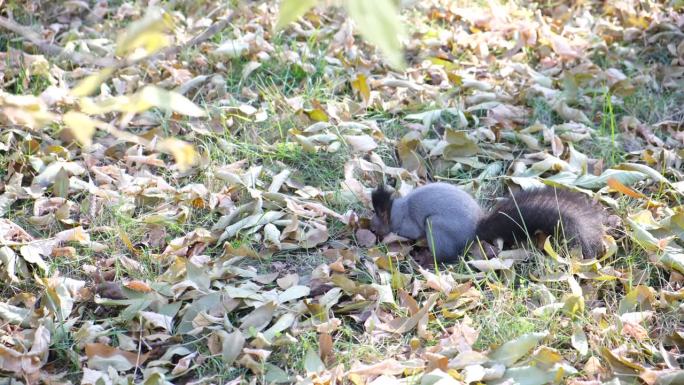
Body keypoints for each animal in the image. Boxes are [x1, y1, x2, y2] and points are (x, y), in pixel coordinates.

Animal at [368, 182, 604, 260]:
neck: (397, 209)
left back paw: (424, 259)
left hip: (437, 229)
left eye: (377, 222)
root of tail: (477, 229)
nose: (370, 228)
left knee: (448, 257)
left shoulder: (409, 224)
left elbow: (411, 232)